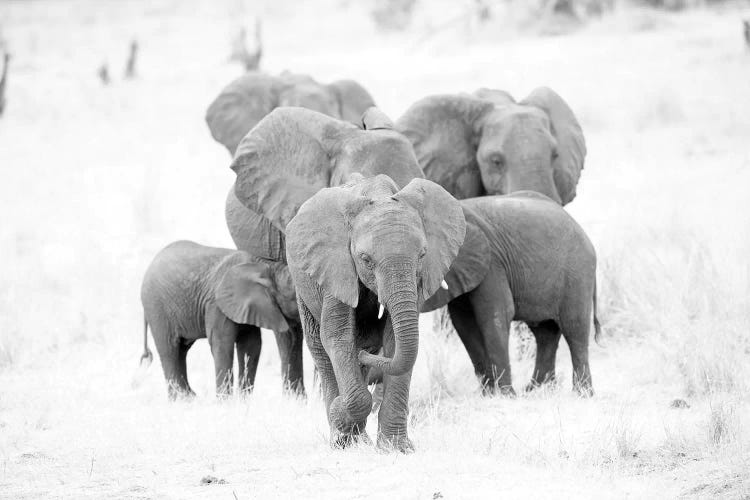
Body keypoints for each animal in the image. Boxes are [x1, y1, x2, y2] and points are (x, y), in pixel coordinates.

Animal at [142, 240, 302, 400]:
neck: (268, 267)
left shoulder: (248, 307)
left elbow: (251, 345)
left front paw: (244, 400)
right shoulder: (217, 306)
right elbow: (222, 344)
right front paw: (226, 401)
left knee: (181, 350)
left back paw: (189, 397)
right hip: (156, 307)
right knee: (169, 349)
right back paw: (180, 399)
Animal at [286, 176, 468, 454]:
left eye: (422, 255)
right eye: (365, 259)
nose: (364, 355)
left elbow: (395, 342)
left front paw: (397, 448)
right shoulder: (336, 268)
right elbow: (338, 337)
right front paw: (341, 417)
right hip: (303, 285)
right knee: (322, 351)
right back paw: (342, 439)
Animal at [426, 191, 604, 398]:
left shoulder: (491, 263)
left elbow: (496, 315)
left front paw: (506, 396)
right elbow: (464, 323)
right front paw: (489, 395)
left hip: (577, 273)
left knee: (574, 330)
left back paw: (582, 394)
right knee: (545, 333)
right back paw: (537, 391)